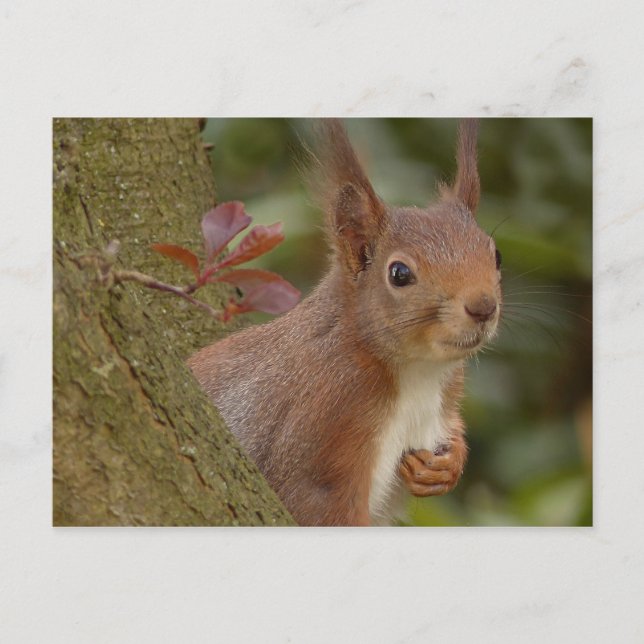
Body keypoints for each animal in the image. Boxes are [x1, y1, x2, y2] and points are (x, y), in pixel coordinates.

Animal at [188, 119, 502, 526]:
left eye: (496, 254)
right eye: (399, 274)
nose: (483, 307)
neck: (418, 371)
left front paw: (445, 465)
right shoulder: (326, 420)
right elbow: (316, 503)